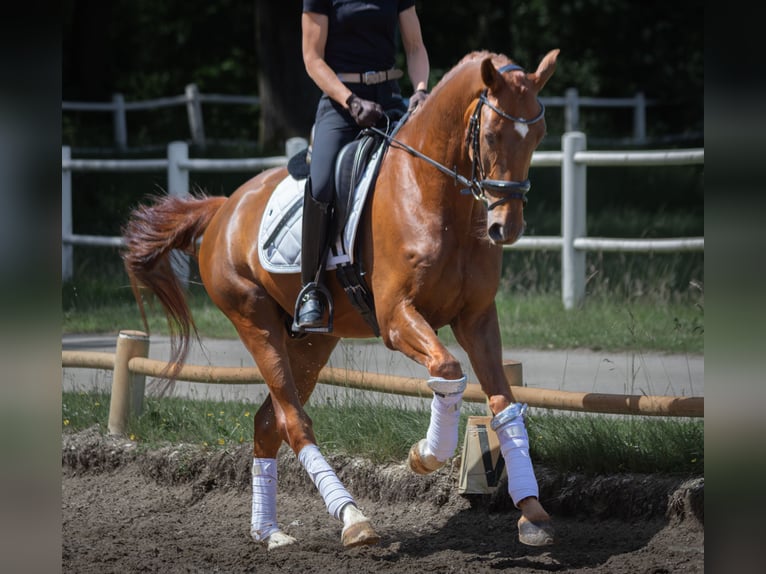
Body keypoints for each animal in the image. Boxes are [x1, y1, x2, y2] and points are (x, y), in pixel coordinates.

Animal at [122, 49, 559, 550]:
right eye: (490, 135)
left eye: (539, 135)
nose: (506, 227)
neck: (433, 192)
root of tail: (224, 208)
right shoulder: (396, 318)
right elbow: (448, 371)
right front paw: (425, 455)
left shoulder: (477, 318)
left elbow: (505, 404)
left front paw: (532, 512)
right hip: (255, 321)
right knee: (293, 422)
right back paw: (352, 518)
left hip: (312, 342)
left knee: (268, 422)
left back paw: (270, 531)